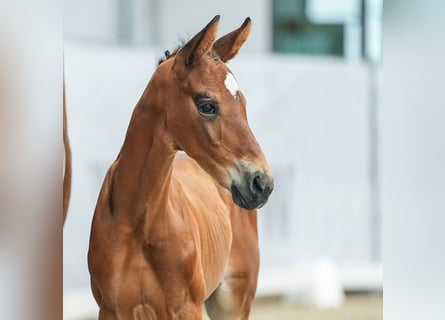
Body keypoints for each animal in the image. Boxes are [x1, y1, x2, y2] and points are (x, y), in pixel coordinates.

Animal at [88, 16, 272, 318]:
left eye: (243, 103)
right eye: (207, 105)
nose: (262, 183)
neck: (139, 224)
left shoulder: (186, 308)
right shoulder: (112, 309)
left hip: (234, 299)